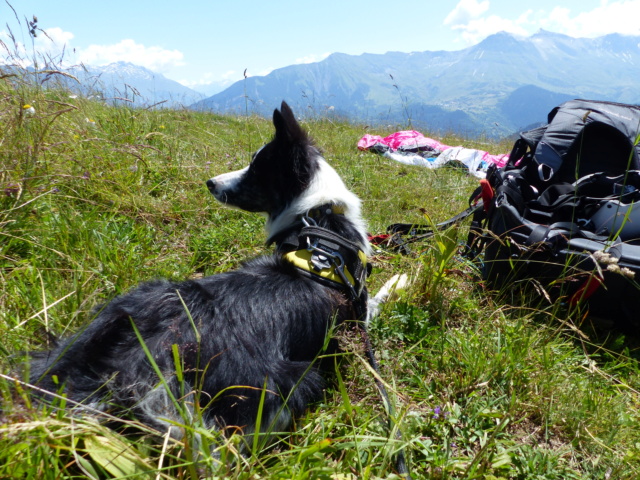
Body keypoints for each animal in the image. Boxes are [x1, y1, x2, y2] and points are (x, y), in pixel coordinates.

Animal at [28, 103, 390, 440]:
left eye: (256, 170)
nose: (210, 182)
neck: (321, 220)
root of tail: (152, 348)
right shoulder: (358, 317)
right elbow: (380, 298)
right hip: (289, 386)